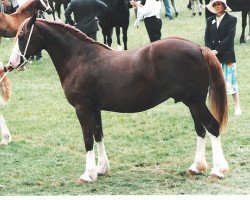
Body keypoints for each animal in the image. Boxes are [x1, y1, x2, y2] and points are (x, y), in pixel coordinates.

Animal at [5, 16, 229, 183]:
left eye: (22, 35)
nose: (11, 64)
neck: (80, 59)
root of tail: (199, 48)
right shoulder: (94, 108)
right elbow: (98, 135)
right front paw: (101, 169)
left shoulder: (82, 108)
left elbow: (87, 138)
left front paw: (88, 174)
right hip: (192, 103)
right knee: (201, 130)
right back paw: (196, 167)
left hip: (195, 102)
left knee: (212, 127)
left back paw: (217, 170)